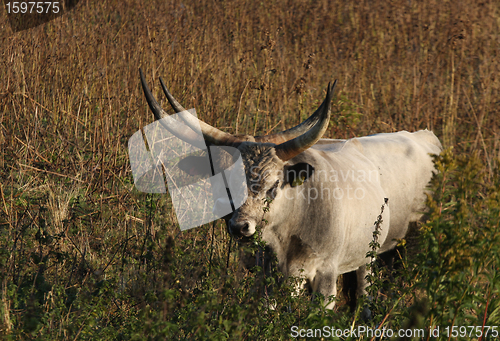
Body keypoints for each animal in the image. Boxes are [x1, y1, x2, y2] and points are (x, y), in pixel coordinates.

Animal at [139, 69, 444, 308]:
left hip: (391, 250)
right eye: (225, 183)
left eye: (274, 185)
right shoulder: (269, 278)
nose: (240, 227)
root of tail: (423, 137)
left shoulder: (326, 276)